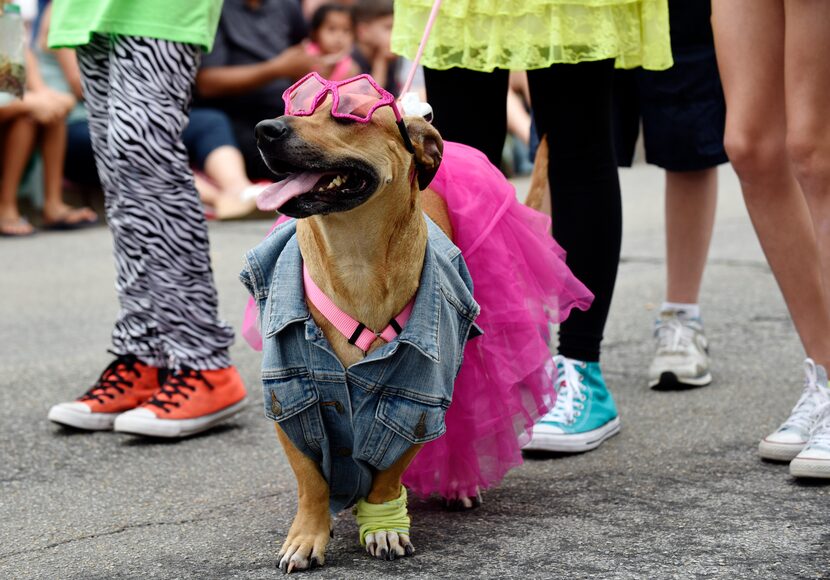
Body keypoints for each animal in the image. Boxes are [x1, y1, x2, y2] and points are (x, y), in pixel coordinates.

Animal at [244, 79, 480, 572]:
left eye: (347, 114)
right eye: (295, 103)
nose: (264, 129)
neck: (355, 261)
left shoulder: (420, 399)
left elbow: (391, 469)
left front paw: (384, 521)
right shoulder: (286, 398)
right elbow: (310, 478)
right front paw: (308, 534)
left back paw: (460, 482)